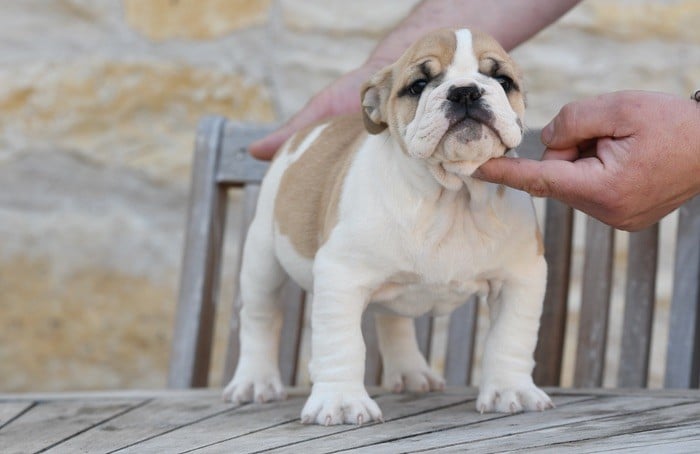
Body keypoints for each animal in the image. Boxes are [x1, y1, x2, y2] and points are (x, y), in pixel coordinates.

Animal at [224, 28, 552, 426]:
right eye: (418, 85)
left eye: (503, 81)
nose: (465, 91)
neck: (451, 195)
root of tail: (303, 134)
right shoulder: (341, 275)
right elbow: (341, 343)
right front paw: (340, 400)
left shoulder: (520, 277)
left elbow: (510, 337)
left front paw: (510, 390)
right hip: (262, 256)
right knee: (260, 317)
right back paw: (254, 381)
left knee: (393, 321)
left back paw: (411, 373)